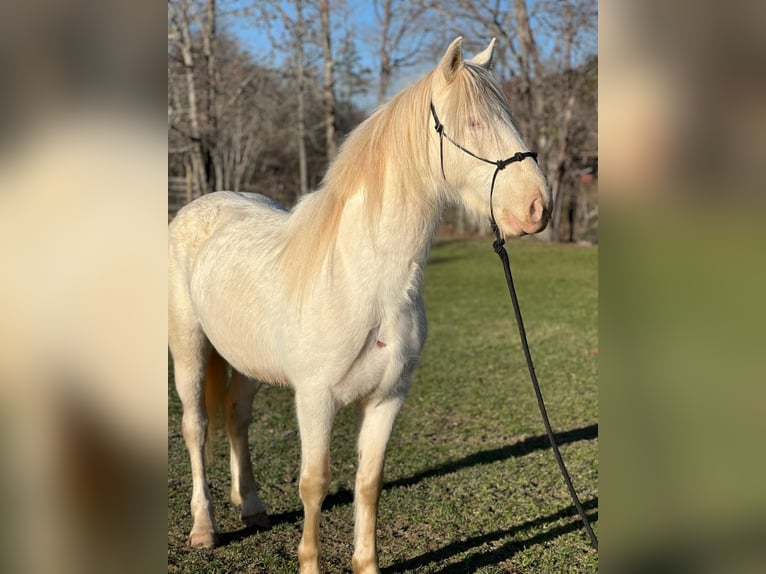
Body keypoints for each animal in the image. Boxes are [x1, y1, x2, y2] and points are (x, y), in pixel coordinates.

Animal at [170, 37, 552, 574]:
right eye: (475, 123)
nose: (539, 207)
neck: (363, 283)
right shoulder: (315, 400)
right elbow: (314, 483)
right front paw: (310, 563)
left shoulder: (387, 399)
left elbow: (368, 484)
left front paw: (365, 562)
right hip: (189, 350)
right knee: (196, 427)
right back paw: (204, 528)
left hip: (246, 362)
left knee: (236, 419)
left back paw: (252, 508)